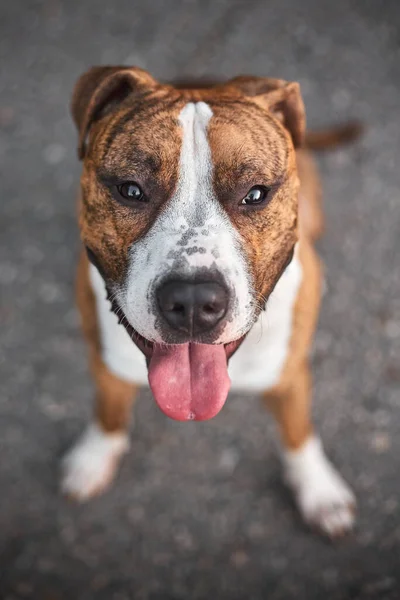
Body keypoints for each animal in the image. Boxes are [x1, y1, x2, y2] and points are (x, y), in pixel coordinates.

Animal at [61, 67, 360, 540]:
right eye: (130, 189)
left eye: (255, 194)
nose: (193, 300)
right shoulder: (105, 365)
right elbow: (108, 411)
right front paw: (94, 455)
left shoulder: (290, 375)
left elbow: (298, 431)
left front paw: (319, 490)